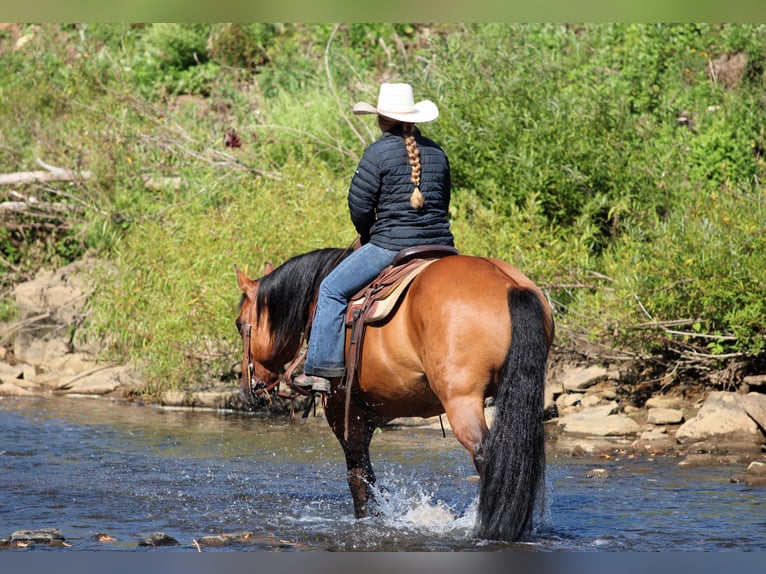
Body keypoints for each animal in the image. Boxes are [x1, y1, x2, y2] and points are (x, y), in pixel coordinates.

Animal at [234, 246, 555, 542]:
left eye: (239, 325)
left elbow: (358, 475)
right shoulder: (374, 411)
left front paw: (366, 520)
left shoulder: (343, 409)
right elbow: (368, 474)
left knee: (487, 456)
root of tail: (509, 285)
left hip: (462, 401)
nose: (248, 389)